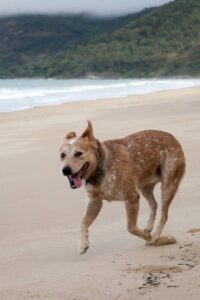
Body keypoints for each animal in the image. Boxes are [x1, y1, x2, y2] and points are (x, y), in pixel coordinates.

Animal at [59, 120, 186, 254]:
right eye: (62, 155)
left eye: (78, 153)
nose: (65, 170)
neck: (100, 168)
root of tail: (173, 138)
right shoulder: (95, 202)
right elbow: (83, 223)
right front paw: (83, 244)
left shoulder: (131, 197)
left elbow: (131, 228)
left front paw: (148, 237)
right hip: (145, 188)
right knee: (154, 205)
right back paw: (148, 227)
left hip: (168, 185)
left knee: (164, 215)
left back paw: (156, 238)